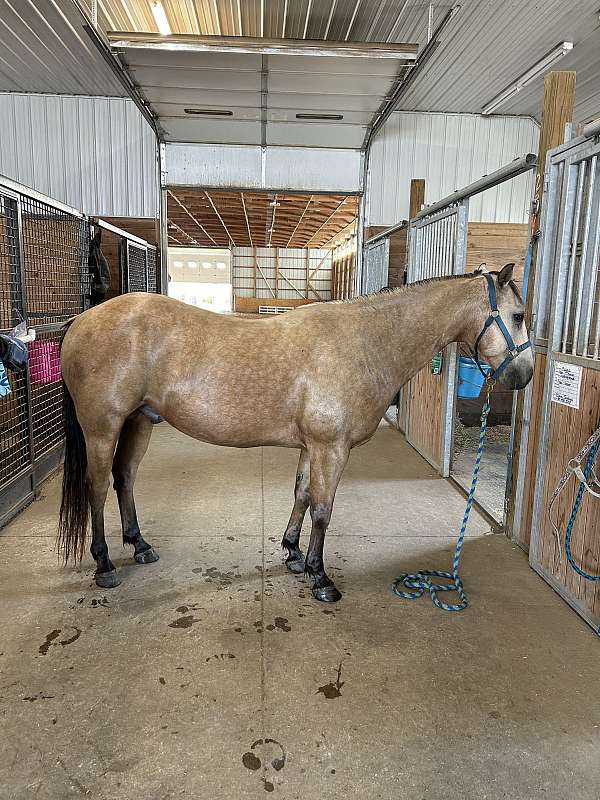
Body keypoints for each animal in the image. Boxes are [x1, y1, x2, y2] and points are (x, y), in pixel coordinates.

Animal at [58, 266, 532, 604]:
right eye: (519, 316)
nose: (524, 376)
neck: (365, 343)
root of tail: (82, 319)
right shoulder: (331, 448)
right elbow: (323, 508)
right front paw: (321, 577)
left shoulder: (312, 447)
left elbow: (302, 494)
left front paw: (292, 554)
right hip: (102, 428)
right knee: (96, 487)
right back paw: (104, 565)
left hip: (139, 422)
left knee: (124, 479)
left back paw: (140, 545)